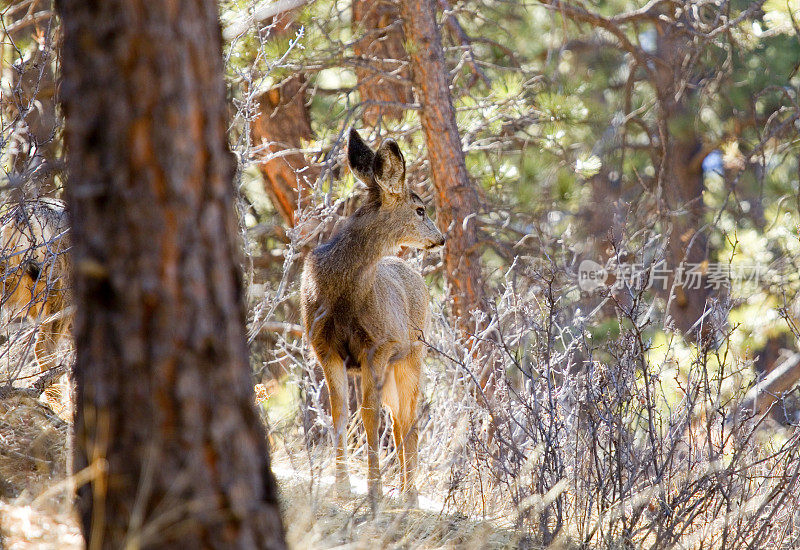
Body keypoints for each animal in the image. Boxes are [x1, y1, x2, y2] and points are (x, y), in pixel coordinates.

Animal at [304, 128, 446, 504]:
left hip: (413, 353)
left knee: (408, 421)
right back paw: (405, 489)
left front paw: (374, 489)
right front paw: (341, 486)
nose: (441, 238)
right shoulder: (325, 348)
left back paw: (410, 493)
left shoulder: (378, 346)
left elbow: (370, 417)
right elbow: (340, 414)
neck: (341, 295)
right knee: (399, 420)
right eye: (420, 209)